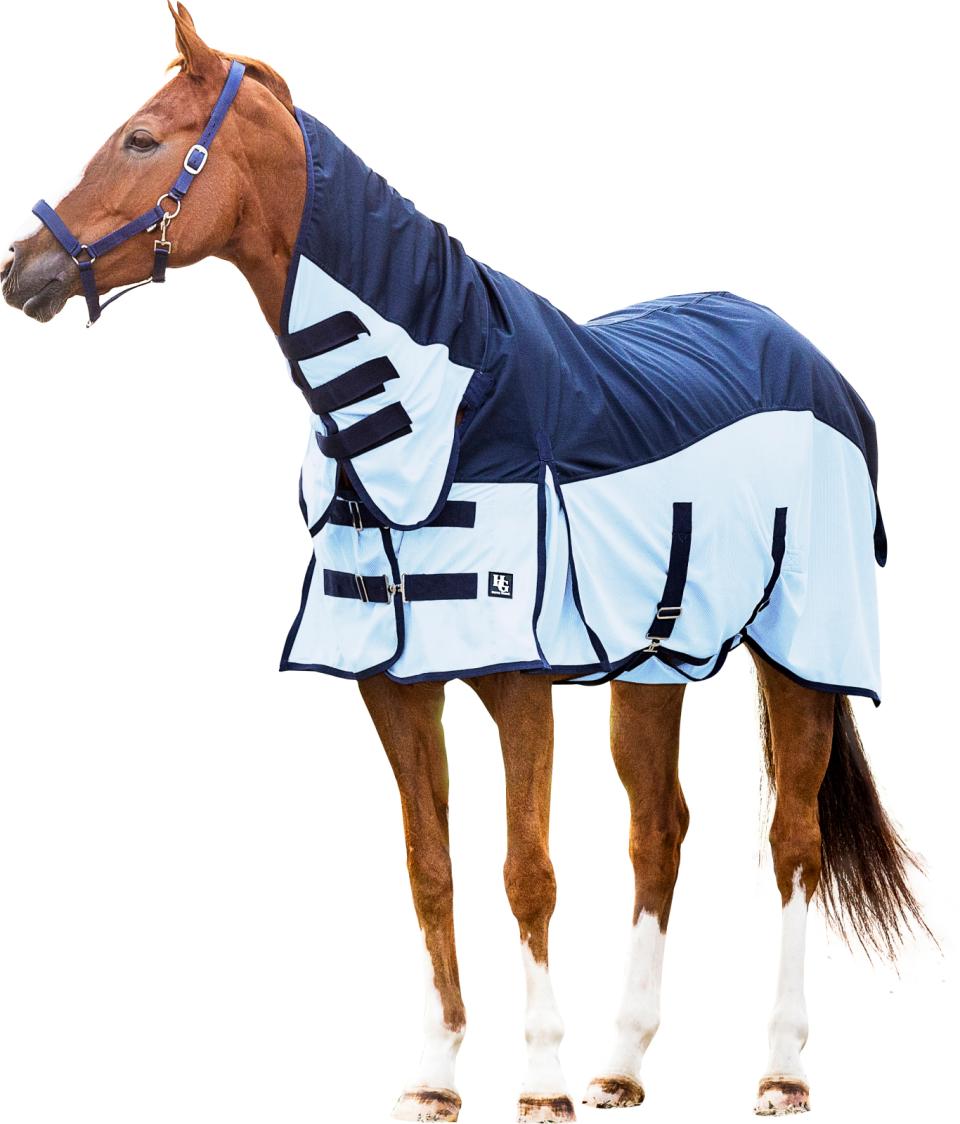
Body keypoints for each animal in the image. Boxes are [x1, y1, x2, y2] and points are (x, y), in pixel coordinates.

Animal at [1, 5, 927, 1120]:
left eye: (140, 139)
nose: (21, 269)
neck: (442, 408)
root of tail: (804, 352)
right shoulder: (395, 685)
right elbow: (429, 867)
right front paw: (438, 1079)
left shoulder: (517, 682)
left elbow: (527, 870)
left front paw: (539, 1081)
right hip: (656, 663)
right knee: (658, 827)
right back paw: (624, 1062)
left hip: (801, 649)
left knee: (793, 837)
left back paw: (781, 1069)